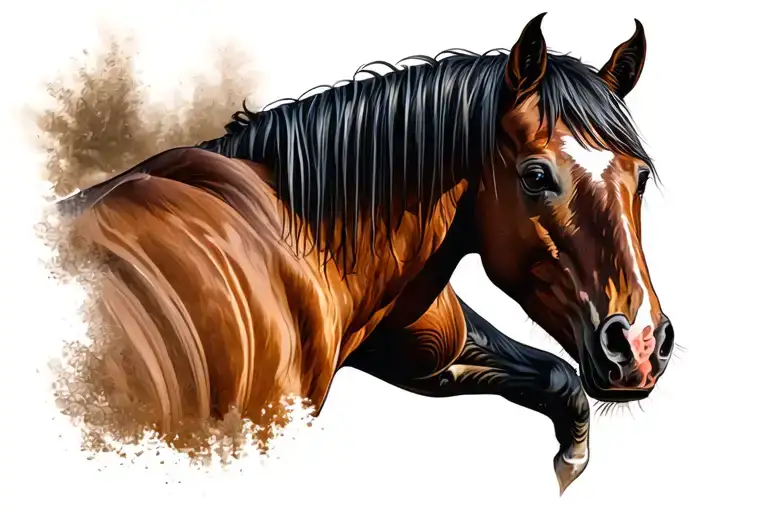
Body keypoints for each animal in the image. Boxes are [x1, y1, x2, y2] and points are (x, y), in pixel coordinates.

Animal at [55, 13, 674, 494]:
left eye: (640, 178)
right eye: (536, 176)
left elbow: (554, 377)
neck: (297, 235)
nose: (639, 345)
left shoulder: (420, 339)